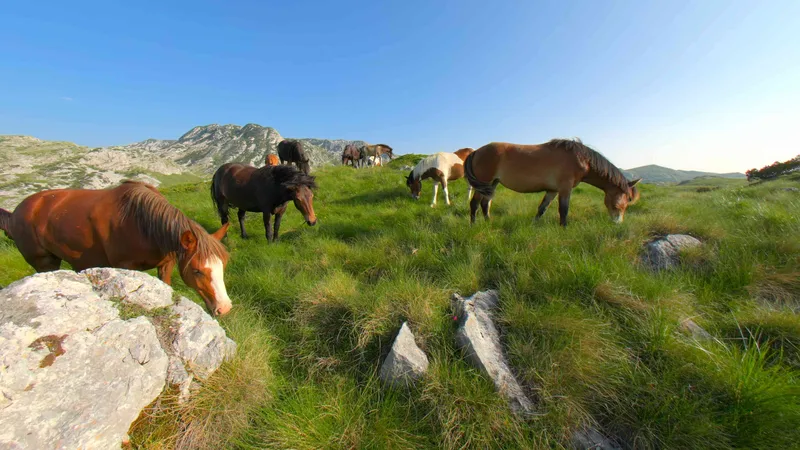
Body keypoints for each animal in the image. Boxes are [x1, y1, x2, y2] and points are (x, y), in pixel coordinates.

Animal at [0, 181, 233, 316]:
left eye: (222, 267)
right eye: (197, 270)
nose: (225, 308)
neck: (142, 223)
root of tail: (16, 213)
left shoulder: (166, 264)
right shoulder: (126, 267)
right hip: (43, 262)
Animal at [464, 139, 641, 226]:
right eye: (625, 201)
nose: (618, 223)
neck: (581, 158)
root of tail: (477, 151)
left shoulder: (553, 190)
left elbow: (542, 209)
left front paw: (534, 225)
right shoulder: (565, 188)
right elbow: (564, 210)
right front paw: (564, 228)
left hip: (491, 184)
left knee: (485, 204)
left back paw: (488, 222)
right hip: (484, 183)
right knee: (474, 204)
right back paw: (473, 225)